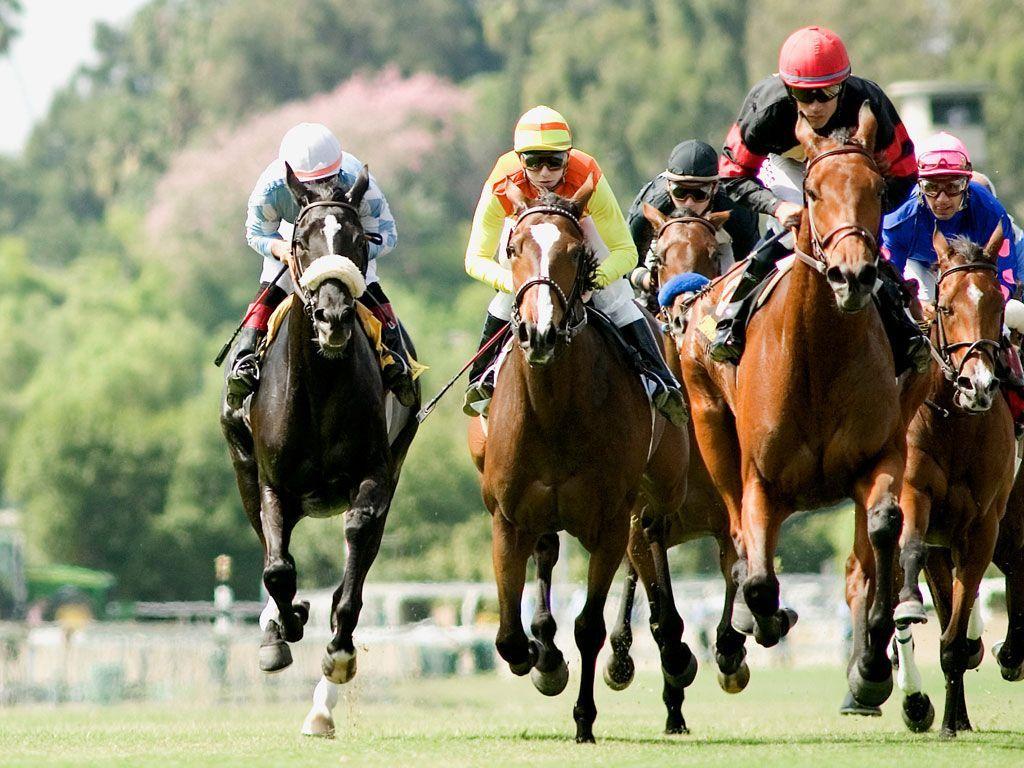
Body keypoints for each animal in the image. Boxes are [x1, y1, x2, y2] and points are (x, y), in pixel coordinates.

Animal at [219, 163, 419, 737]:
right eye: (302, 241)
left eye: (355, 239)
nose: (332, 318)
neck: (322, 387)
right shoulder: (270, 482)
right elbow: (278, 569)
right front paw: (286, 624)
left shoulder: (375, 474)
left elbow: (354, 543)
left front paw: (339, 649)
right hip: (244, 471)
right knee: (271, 552)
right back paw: (277, 629)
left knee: (359, 548)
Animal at [467, 181, 690, 742]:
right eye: (514, 248)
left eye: (575, 252)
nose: (541, 333)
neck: (554, 409)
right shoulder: (507, 516)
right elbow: (507, 636)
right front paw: (542, 661)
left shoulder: (609, 520)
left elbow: (589, 626)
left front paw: (584, 719)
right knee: (550, 553)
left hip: (662, 486)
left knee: (651, 536)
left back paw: (673, 649)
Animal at [602, 205, 753, 735]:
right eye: (660, 256)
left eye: (712, 253)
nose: (683, 308)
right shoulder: (642, 522)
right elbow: (662, 615)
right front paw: (676, 667)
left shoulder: (728, 518)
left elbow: (734, 586)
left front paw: (729, 655)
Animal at [681, 104, 922, 710]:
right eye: (812, 192)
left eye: (878, 189)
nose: (853, 275)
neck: (818, 352)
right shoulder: (761, 480)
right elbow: (759, 577)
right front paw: (766, 619)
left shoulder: (881, 454)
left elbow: (882, 532)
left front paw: (873, 661)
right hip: (709, 424)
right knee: (737, 542)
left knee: (861, 556)